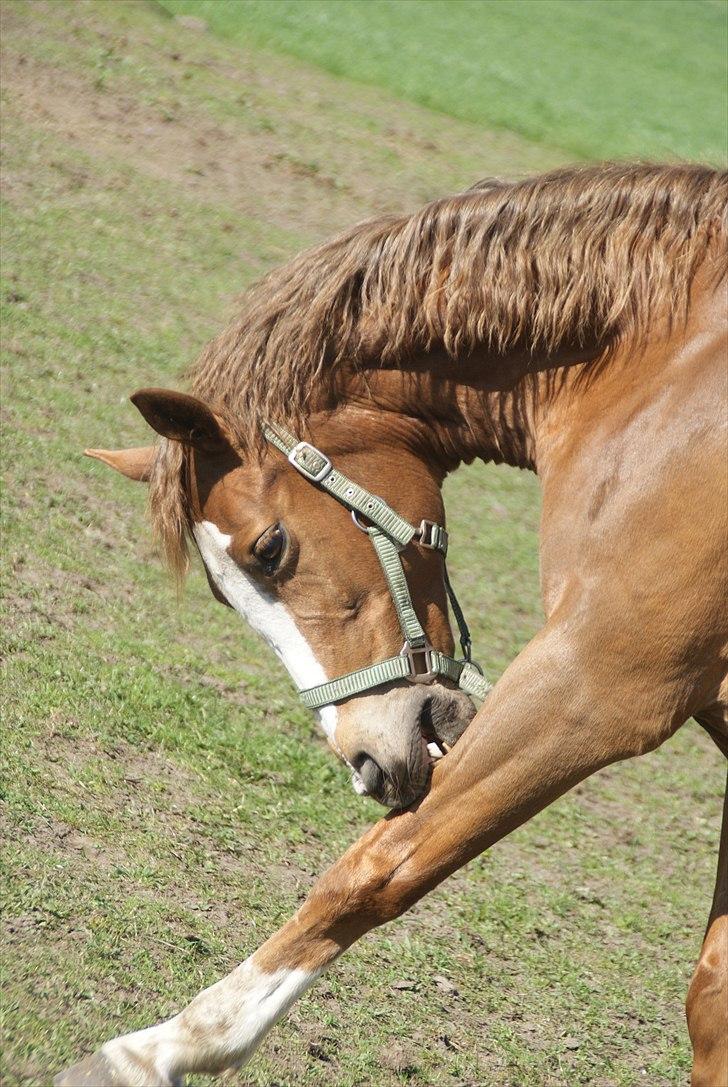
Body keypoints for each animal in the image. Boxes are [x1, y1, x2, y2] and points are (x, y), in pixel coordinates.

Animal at [55, 163, 727, 1086]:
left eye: (271, 548)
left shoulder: (600, 679)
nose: (366, 758)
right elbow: (713, 994)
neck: (658, 369)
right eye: (225, 596)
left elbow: (376, 868)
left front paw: (160, 1047)